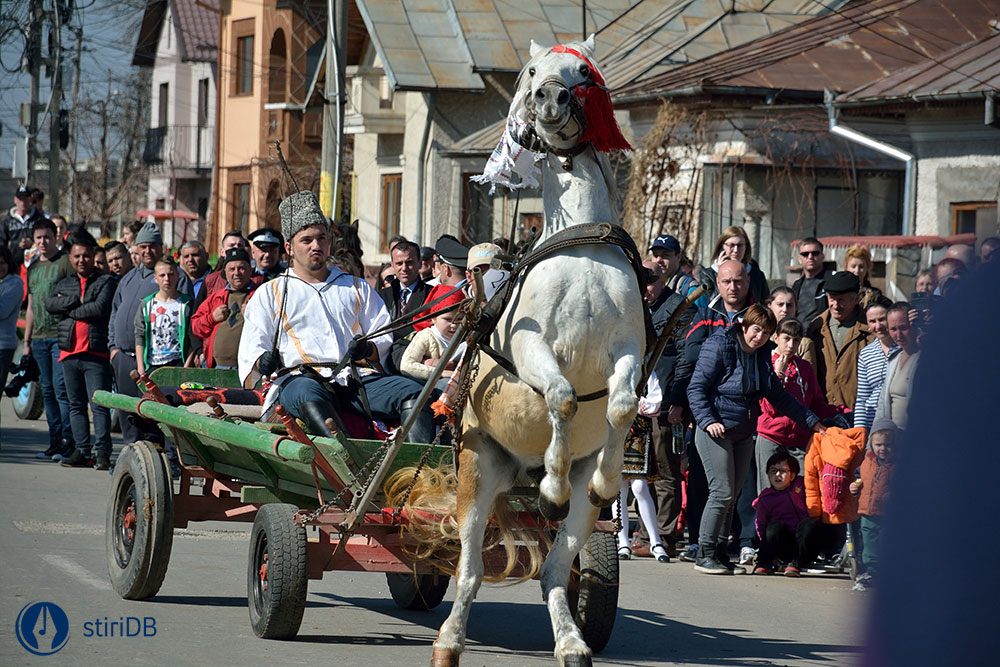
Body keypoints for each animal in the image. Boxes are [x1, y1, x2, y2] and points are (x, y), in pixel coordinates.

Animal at [430, 35, 640, 667]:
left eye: (583, 72)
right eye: (530, 70)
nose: (550, 97)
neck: (580, 250)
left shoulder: (629, 350)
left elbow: (622, 404)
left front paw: (604, 478)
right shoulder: (530, 347)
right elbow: (563, 396)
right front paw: (549, 483)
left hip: (576, 518)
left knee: (553, 571)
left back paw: (572, 641)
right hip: (477, 469)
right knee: (469, 571)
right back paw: (448, 640)